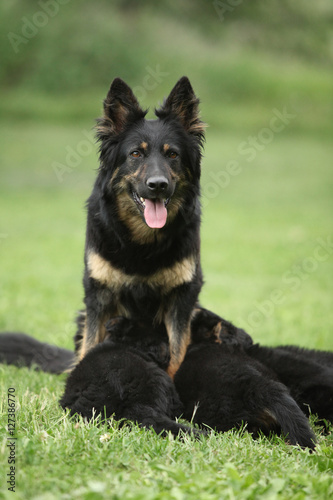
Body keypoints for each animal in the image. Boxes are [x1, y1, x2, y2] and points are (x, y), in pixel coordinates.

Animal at [75, 76, 205, 376]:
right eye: (136, 154)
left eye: (172, 155)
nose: (158, 185)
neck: (142, 242)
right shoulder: (98, 295)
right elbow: (89, 345)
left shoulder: (183, 297)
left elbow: (177, 351)